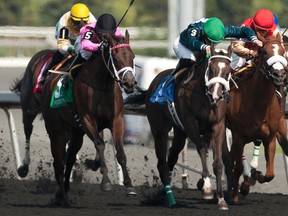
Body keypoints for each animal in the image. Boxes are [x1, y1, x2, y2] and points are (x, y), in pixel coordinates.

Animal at [145, 45, 233, 209]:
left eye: (228, 71)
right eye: (211, 69)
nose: (216, 96)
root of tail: (154, 82)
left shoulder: (218, 126)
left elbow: (218, 162)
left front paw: (221, 200)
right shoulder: (190, 123)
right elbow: (202, 149)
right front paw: (206, 188)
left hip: (180, 133)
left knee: (171, 157)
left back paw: (164, 193)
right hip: (159, 131)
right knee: (162, 164)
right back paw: (171, 200)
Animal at [226, 32, 288, 202]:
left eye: (282, 52)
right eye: (265, 52)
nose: (279, 75)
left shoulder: (270, 137)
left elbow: (270, 174)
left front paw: (256, 174)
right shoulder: (239, 135)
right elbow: (238, 167)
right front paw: (235, 194)